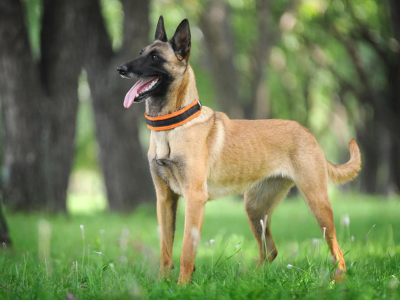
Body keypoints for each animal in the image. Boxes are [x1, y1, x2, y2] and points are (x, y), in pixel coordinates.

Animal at [117, 15, 360, 284]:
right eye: (141, 52)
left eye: (154, 57)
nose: (120, 69)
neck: (172, 127)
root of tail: (307, 133)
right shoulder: (164, 199)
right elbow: (165, 250)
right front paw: (162, 285)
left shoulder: (194, 198)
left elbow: (187, 250)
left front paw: (182, 286)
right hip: (255, 209)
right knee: (270, 251)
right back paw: (252, 280)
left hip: (317, 203)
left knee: (336, 249)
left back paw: (338, 280)